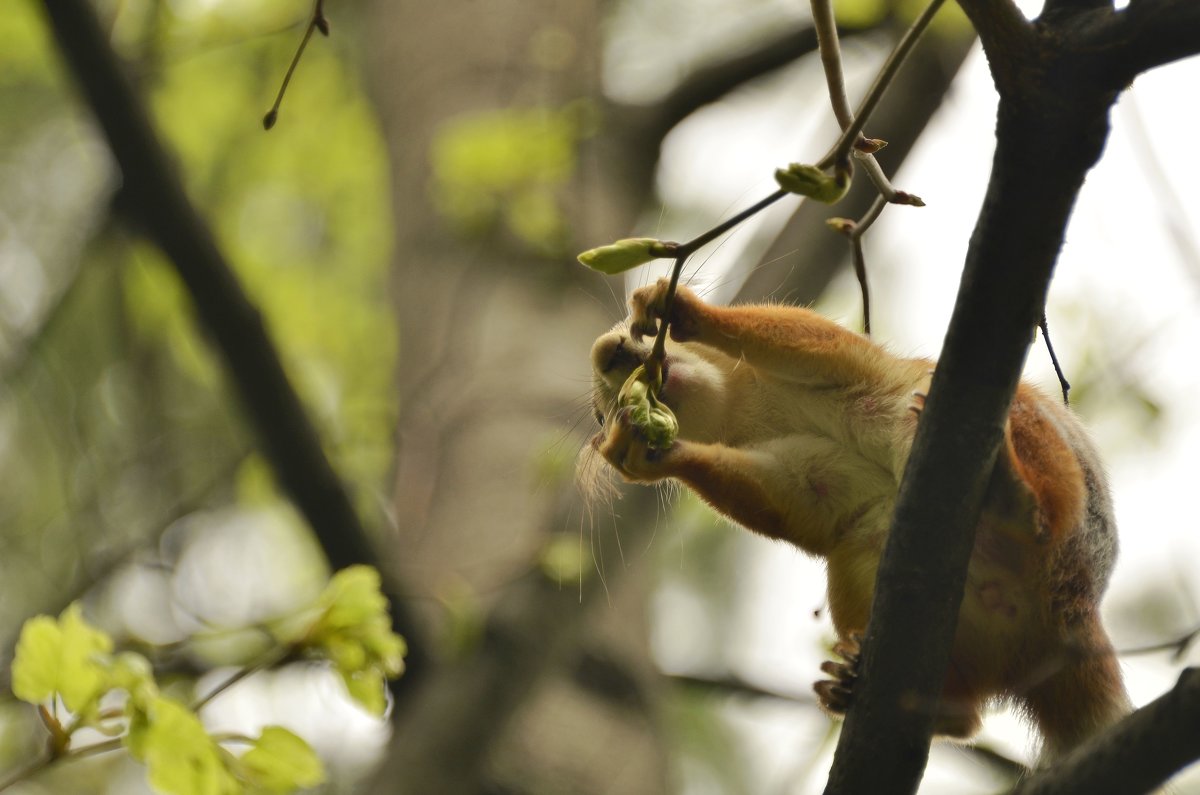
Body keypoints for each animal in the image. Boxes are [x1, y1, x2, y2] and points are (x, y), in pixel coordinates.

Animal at [585, 277, 1128, 763]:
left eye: (639, 331)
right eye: (599, 418)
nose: (606, 351)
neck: (748, 407)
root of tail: (1069, 612)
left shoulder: (852, 365)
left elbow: (804, 338)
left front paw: (680, 307)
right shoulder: (800, 469)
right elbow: (792, 498)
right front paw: (646, 454)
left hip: (1035, 441)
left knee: (1045, 506)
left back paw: (1014, 498)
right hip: (868, 571)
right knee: (967, 714)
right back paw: (878, 693)